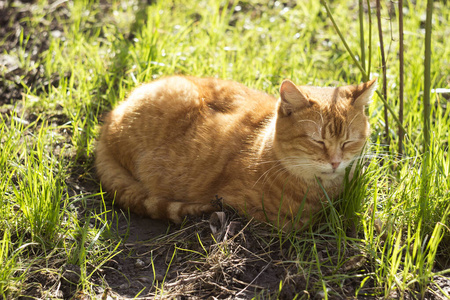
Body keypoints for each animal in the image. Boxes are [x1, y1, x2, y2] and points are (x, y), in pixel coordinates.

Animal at [96, 75, 378, 230]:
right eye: (317, 141)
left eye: (348, 142)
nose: (335, 162)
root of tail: (109, 118)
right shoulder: (245, 206)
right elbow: (300, 223)